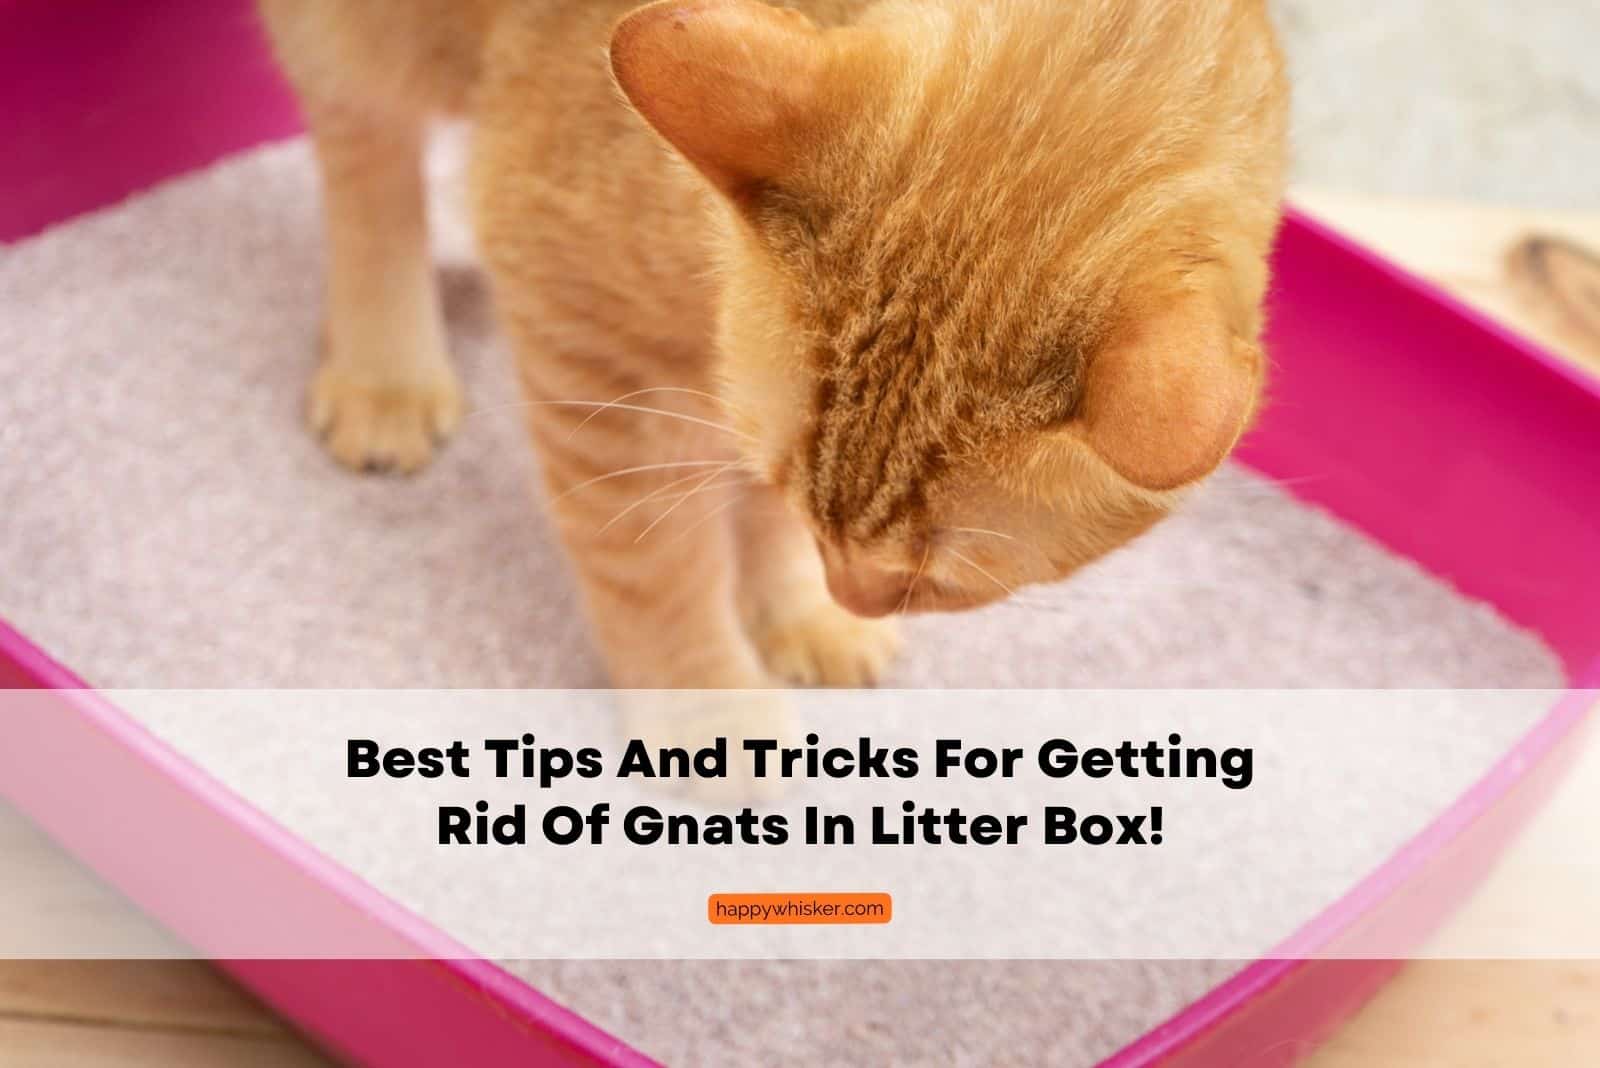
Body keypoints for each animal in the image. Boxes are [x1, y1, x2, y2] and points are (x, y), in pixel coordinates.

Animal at [259, 0, 1286, 693]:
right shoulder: (583, 338)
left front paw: (799, 608)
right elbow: (652, 574)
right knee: (363, 151)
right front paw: (712, 714)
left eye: (939, 578)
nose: (855, 592)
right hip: (367, 39)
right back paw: (384, 366)